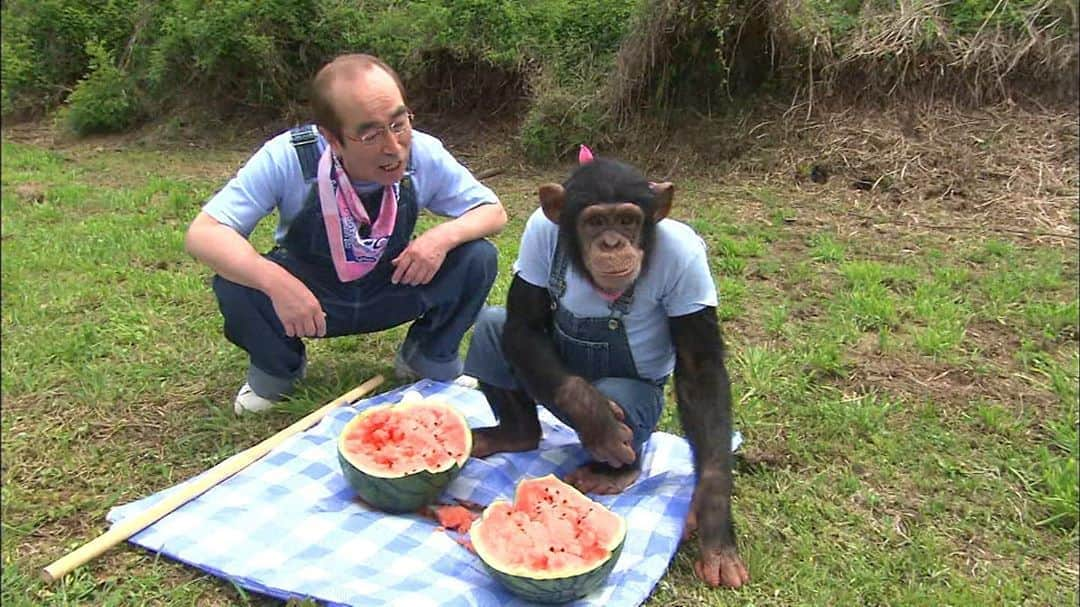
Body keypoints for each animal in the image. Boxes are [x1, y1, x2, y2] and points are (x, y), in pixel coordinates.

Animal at [460, 147, 747, 587]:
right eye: (595, 221)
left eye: (628, 220)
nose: (612, 243)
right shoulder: (536, 235)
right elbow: (523, 324)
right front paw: (595, 417)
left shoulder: (689, 264)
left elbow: (700, 371)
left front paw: (714, 522)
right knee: (494, 327)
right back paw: (516, 434)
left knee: (622, 395)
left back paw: (611, 474)